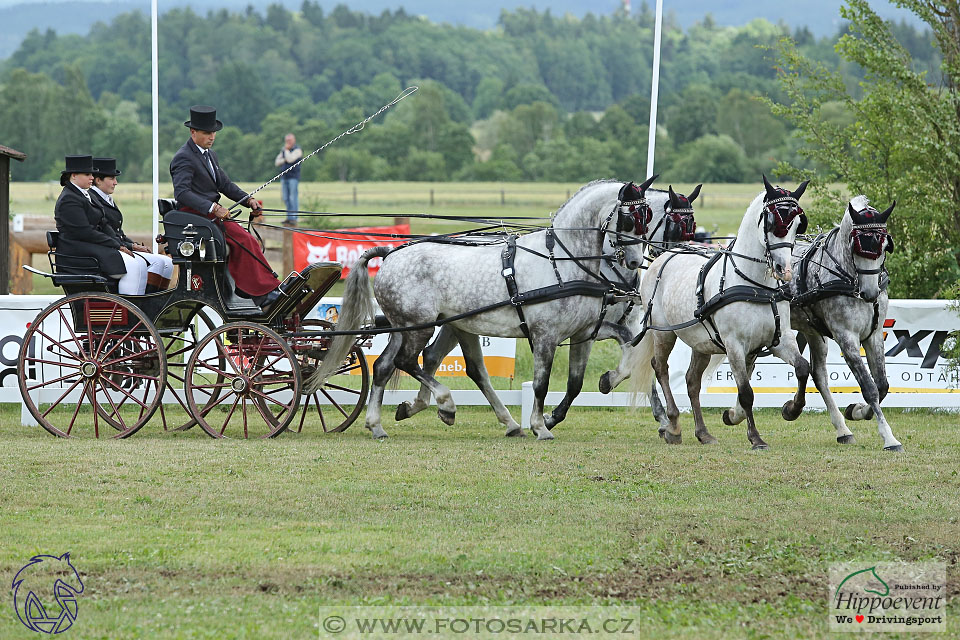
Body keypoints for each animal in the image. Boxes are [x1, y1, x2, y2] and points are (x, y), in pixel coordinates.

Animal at [312, 180, 656, 440]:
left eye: (647, 218)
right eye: (630, 218)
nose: (636, 262)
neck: (560, 261)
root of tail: (391, 253)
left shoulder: (584, 333)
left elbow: (596, 368)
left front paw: (607, 380)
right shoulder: (545, 336)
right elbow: (541, 384)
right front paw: (540, 426)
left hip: (407, 327)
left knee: (385, 366)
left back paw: (378, 424)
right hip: (420, 327)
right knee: (407, 361)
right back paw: (446, 405)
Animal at [632, 178, 812, 450]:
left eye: (797, 225)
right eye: (772, 222)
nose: (785, 269)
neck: (755, 286)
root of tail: (664, 256)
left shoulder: (779, 340)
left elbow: (802, 368)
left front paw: (791, 409)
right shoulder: (734, 345)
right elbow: (746, 392)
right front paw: (755, 437)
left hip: (701, 342)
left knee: (692, 381)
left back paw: (703, 432)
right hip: (664, 333)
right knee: (660, 368)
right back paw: (673, 426)